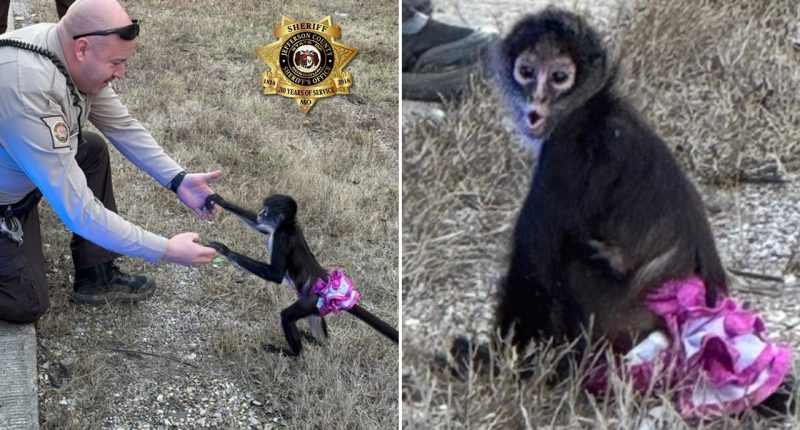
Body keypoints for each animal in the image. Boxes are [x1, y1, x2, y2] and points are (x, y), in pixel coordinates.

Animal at [204, 193, 398, 356]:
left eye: (266, 210)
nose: (260, 213)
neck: (287, 226)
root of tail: (328, 282)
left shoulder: (281, 237)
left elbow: (276, 275)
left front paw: (226, 251)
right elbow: (260, 227)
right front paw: (219, 200)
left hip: (311, 300)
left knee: (287, 316)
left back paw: (294, 354)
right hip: (316, 304)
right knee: (315, 321)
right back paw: (318, 343)